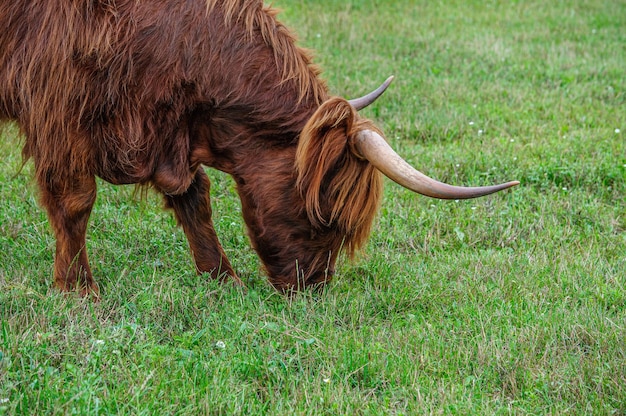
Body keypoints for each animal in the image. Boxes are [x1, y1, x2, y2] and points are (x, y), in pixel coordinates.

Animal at [0, 0, 516, 296]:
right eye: (326, 217)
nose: (312, 288)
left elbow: (194, 197)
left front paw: (222, 277)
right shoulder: (58, 106)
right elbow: (76, 201)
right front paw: (77, 289)